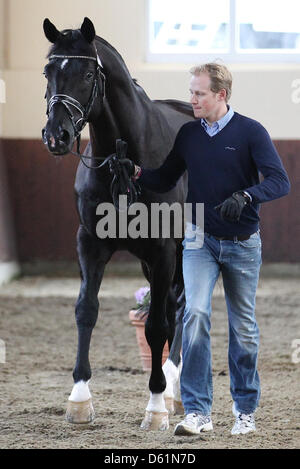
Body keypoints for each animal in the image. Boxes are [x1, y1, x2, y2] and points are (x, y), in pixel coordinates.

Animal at [42, 17, 195, 428]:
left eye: (87, 73)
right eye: (48, 72)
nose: (56, 136)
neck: (124, 158)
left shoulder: (162, 248)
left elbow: (155, 325)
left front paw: (155, 407)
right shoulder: (91, 243)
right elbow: (86, 310)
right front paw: (79, 399)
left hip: (182, 252)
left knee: (181, 309)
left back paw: (173, 387)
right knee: (172, 306)